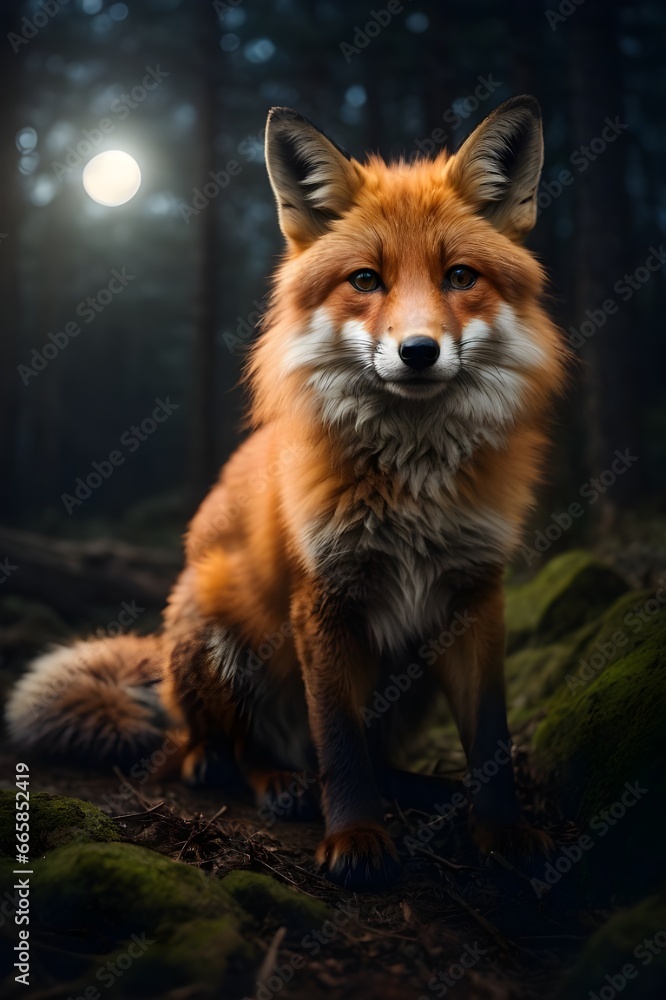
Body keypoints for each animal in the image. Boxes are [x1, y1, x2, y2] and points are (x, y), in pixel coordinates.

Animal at [6, 96, 567, 890]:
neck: (412, 482)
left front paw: (502, 834)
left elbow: (488, 739)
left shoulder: (475, 594)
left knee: (371, 754)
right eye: (366, 280)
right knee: (225, 753)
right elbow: (338, 740)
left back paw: (422, 791)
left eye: (460, 276)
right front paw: (356, 837)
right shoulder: (321, 597)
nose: (418, 352)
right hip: (219, 627)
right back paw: (275, 782)